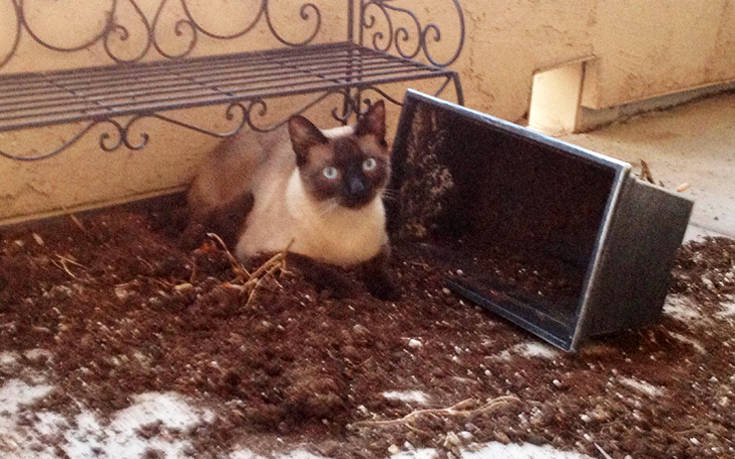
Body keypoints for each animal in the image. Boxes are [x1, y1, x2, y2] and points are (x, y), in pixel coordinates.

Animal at [187, 101, 400, 300]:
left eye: (368, 164)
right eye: (330, 173)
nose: (357, 189)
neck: (347, 226)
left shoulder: (382, 244)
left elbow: (378, 267)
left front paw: (388, 291)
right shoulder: (262, 252)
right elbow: (315, 266)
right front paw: (349, 288)